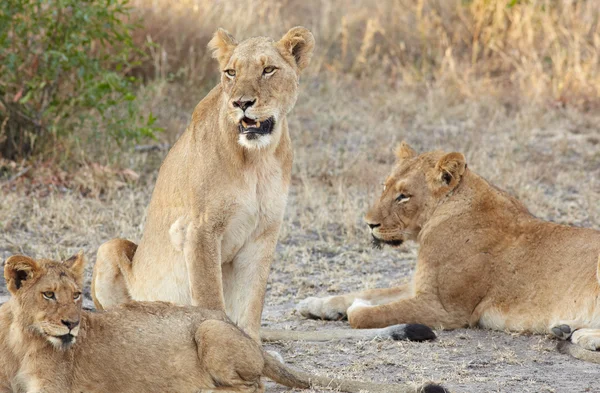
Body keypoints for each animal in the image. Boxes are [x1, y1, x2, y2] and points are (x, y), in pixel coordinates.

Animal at [1, 253, 446, 390]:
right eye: (48, 294)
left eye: (77, 295)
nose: (72, 324)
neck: (23, 342)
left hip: (209, 330)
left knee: (254, 387)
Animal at [298, 142, 600, 362]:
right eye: (385, 187)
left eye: (403, 196)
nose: (369, 223)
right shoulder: (420, 286)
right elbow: (368, 291)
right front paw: (314, 304)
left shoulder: (444, 309)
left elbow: (365, 314)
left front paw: (357, 308)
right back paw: (566, 329)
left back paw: (582, 336)